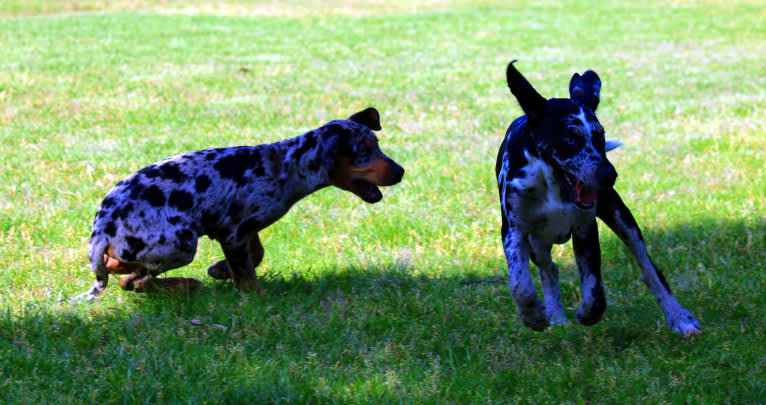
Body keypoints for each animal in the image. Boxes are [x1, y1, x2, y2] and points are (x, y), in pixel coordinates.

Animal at [70, 105, 408, 302]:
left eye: (377, 146)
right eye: (363, 151)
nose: (401, 171)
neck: (286, 166)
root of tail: (101, 228)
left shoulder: (240, 229)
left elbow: (254, 256)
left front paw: (221, 271)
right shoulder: (232, 233)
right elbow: (247, 275)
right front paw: (256, 297)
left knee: (124, 273)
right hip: (183, 243)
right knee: (129, 277)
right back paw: (183, 284)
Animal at [498, 59, 704, 332]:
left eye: (600, 136)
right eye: (569, 138)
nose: (609, 175)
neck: (553, 186)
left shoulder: (585, 228)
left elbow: (595, 286)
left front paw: (590, 313)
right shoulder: (514, 231)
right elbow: (519, 283)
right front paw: (533, 315)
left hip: (622, 218)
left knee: (650, 270)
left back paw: (680, 317)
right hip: (537, 242)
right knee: (548, 269)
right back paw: (554, 313)